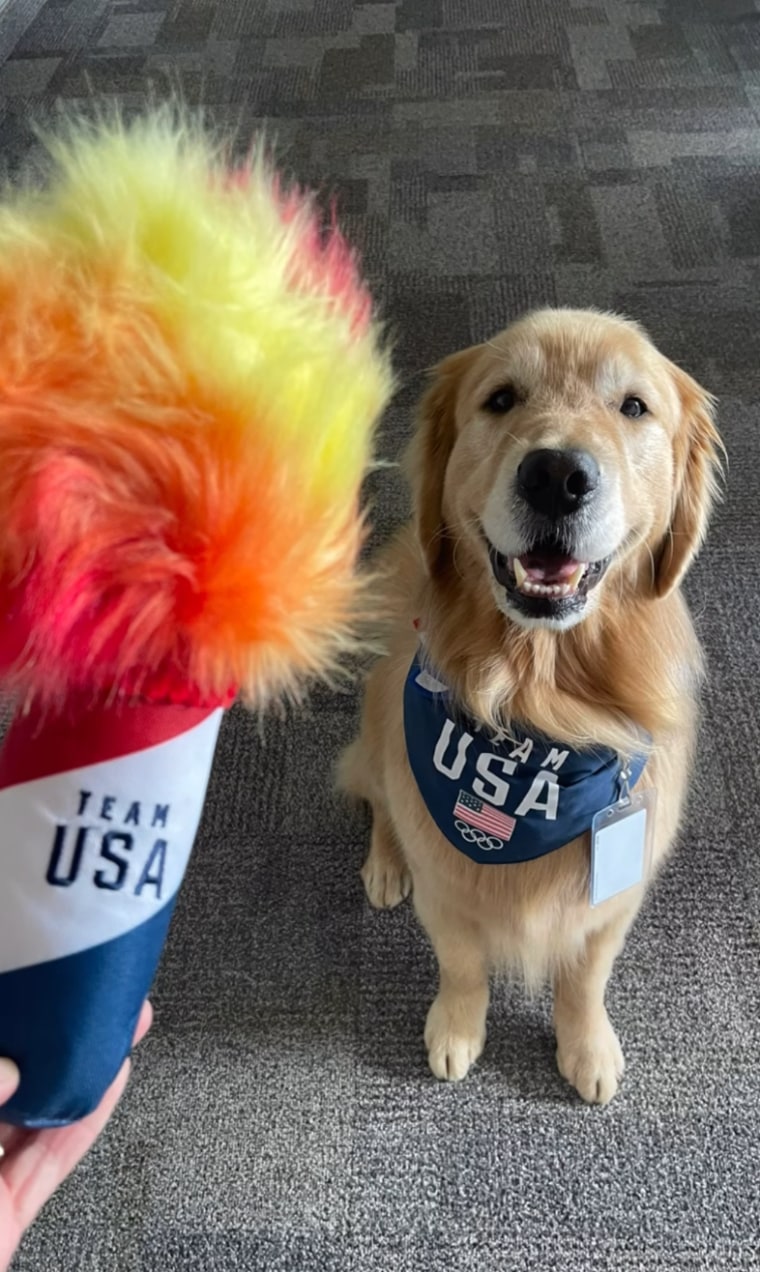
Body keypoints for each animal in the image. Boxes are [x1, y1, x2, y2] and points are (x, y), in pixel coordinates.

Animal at [338, 310, 723, 1104]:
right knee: (381, 801)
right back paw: (385, 865)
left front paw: (587, 1047)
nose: (557, 476)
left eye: (633, 406)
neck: (539, 711)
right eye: (501, 399)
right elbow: (463, 968)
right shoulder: (447, 888)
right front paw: (456, 1031)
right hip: (378, 732)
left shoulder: (614, 897)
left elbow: (585, 978)